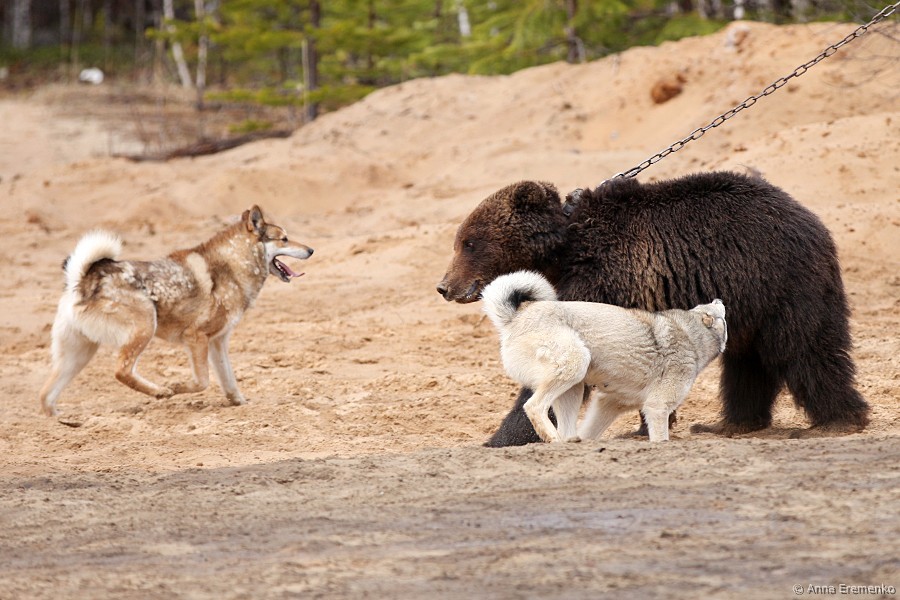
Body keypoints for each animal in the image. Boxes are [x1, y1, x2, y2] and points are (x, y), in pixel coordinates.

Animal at [39, 205, 313, 416]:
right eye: (284, 238)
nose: (311, 250)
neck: (233, 266)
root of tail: (84, 278)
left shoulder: (218, 343)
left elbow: (229, 381)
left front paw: (241, 404)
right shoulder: (196, 338)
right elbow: (202, 382)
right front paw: (177, 386)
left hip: (79, 355)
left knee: (45, 395)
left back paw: (63, 422)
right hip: (144, 328)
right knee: (121, 371)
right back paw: (160, 391)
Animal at [481, 271, 727, 442]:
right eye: (717, 312)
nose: (719, 299)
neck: (691, 334)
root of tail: (514, 318)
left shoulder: (609, 403)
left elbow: (590, 430)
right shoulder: (657, 407)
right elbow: (661, 439)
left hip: (573, 389)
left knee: (567, 429)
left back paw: (569, 442)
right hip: (575, 364)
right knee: (534, 406)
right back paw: (553, 438)